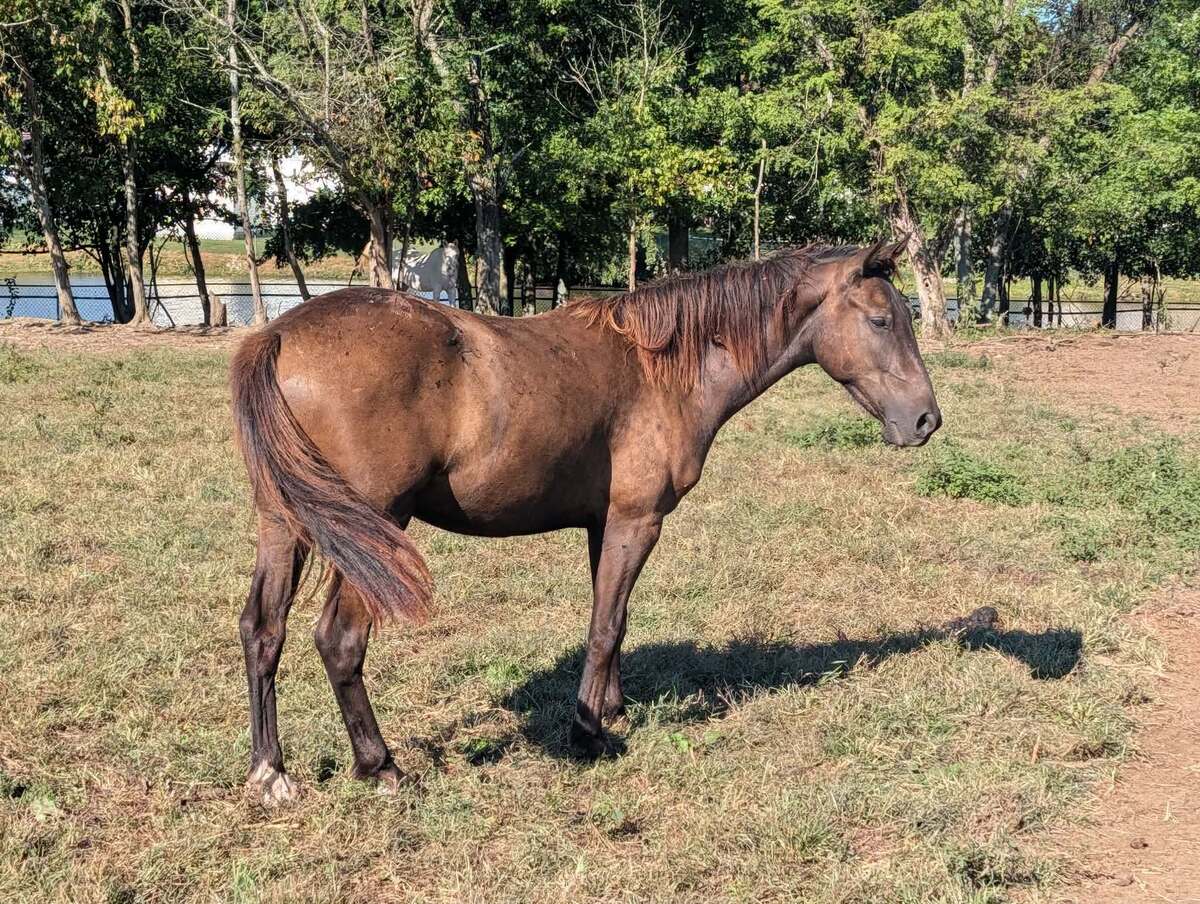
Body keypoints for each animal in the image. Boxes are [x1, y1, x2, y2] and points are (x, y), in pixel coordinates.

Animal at [230, 239, 941, 805]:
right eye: (881, 319)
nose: (926, 421)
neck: (662, 367)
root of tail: (277, 336)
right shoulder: (636, 521)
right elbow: (606, 626)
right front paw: (587, 732)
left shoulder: (604, 525)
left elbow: (612, 620)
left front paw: (609, 710)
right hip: (372, 530)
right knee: (339, 640)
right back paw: (381, 766)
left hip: (287, 524)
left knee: (263, 630)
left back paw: (271, 773)